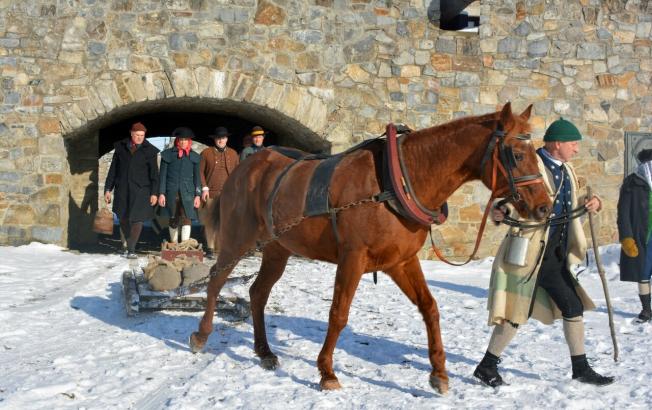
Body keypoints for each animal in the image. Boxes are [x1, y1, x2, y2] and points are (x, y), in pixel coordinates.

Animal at [189, 102, 552, 394]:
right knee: (216, 280)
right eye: (517, 154)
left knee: (258, 292)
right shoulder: (353, 258)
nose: (545, 208)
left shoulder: (400, 262)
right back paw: (201, 335)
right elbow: (338, 313)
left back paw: (264, 351)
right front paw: (327, 372)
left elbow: (430, 308)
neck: (397, 181)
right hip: (238, 239)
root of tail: (245, 167)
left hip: (278, 249)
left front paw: (438, 372)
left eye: (537, 153)